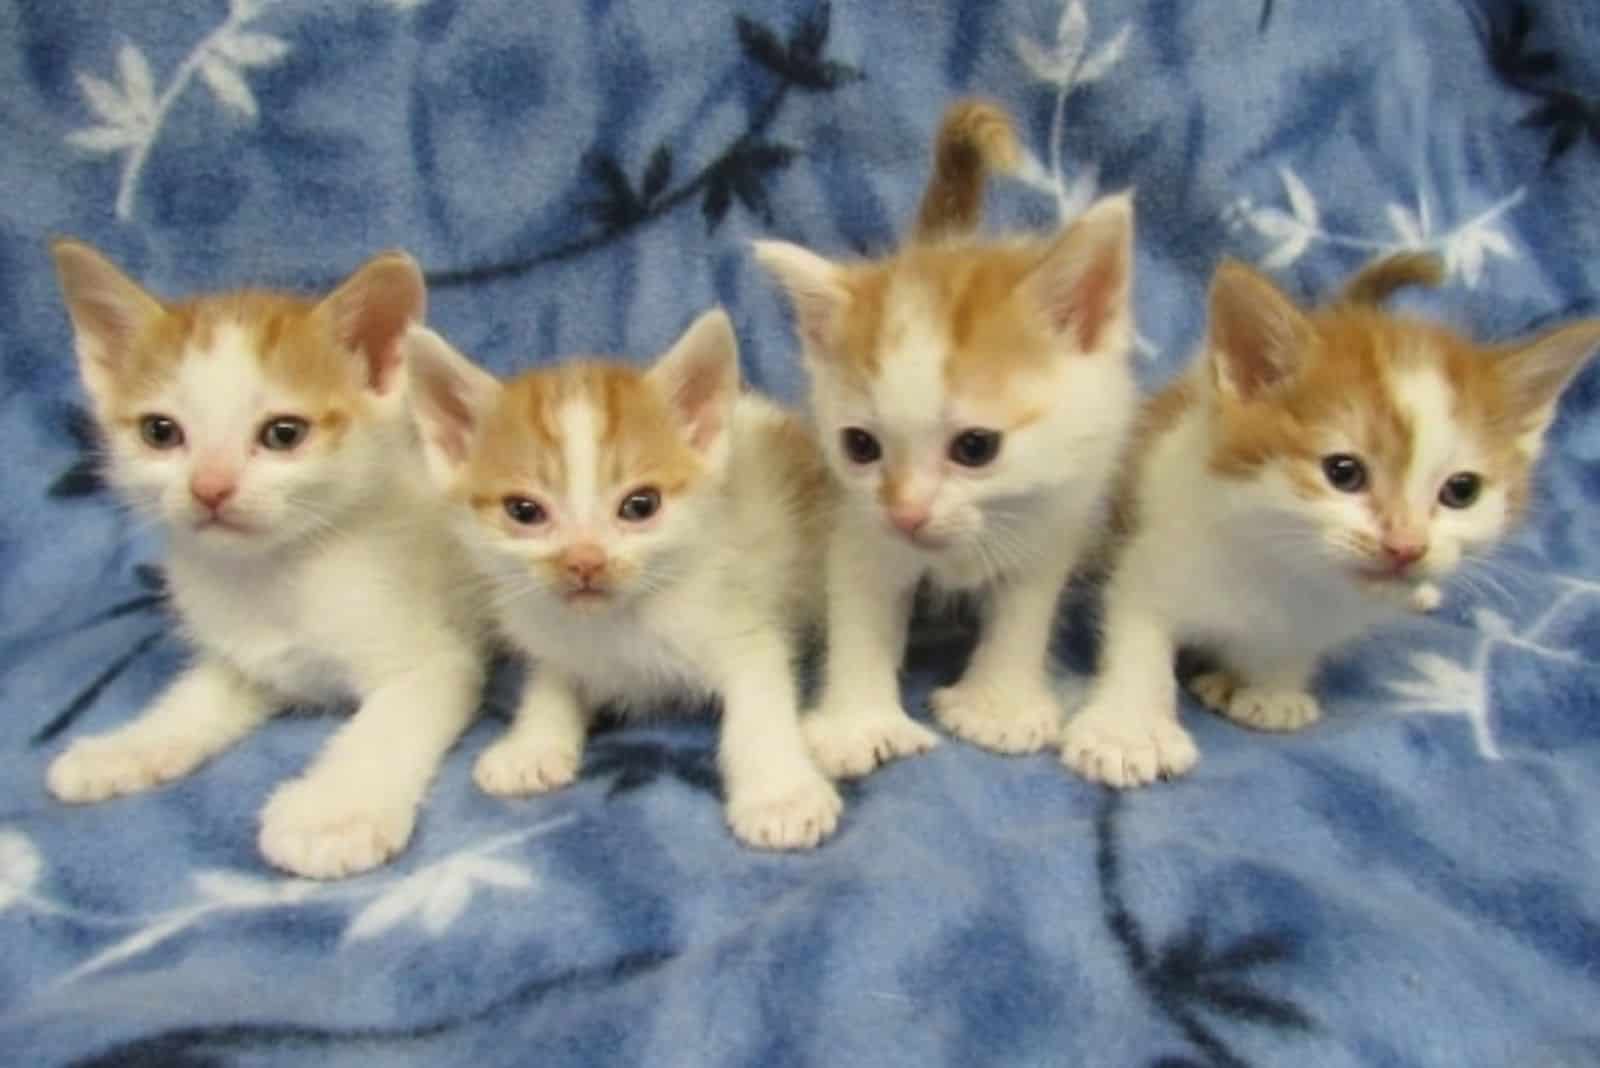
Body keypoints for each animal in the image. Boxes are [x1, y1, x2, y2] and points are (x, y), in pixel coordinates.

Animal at [48, 239, 486, 876]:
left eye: (284, 433)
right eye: (160, 432)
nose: (210, 487)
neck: (277, 572)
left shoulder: (433, 661)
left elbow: (383, 726)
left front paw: (334, 813)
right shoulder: (245, 656)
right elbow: (191, 699)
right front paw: (127, 747)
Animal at [406, 308, 844, 850]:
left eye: (641, 505)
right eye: (523, 511)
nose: (585, 560)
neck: (619, 618)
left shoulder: (740, 624)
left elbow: (759, 702)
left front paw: (780, 795)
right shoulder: (553, 633)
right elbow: (552, 678)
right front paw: (533, 743)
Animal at [748, 102, 1139, 777]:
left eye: (976, 448)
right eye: (860, 446)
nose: (907, 513)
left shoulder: (1051, 518)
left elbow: (1024, 611)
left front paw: (998, 707)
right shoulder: (857, 521)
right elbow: (859, 612)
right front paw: (858, 724)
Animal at [1062, 251, 1600, 783]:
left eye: (1461, 491)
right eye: (1343, 472)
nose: (1407, 547)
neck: (1285, 567)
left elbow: (1296, 644)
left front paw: (1272, 689)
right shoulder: (1154, 552)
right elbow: (1139, 638)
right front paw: (1127, 731)